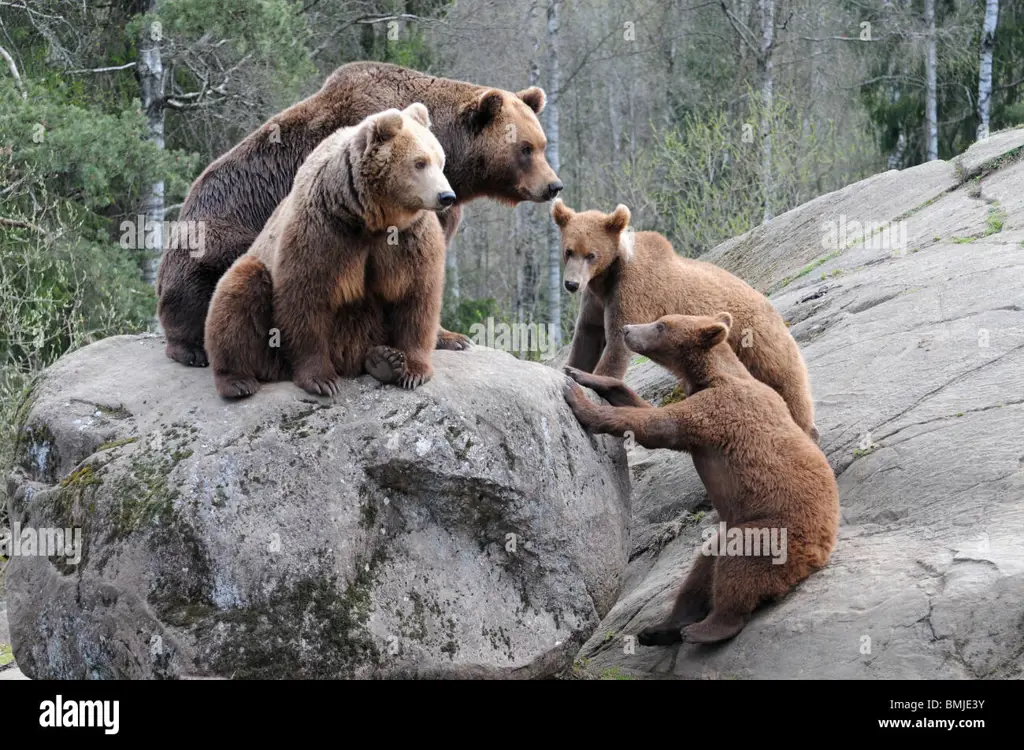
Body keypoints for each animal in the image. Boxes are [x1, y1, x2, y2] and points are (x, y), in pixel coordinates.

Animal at [157, 61, 569, 368]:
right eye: (525, 148)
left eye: (542, 143)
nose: (553, 185)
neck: (454, 164)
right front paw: (444, 338)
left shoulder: (444, 203)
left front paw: (453, 336)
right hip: (216, 233)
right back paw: (194, 349)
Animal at [205, 103, 450, 403]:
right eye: (419, 162)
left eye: (440, 160)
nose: (446, 196)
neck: (370, 217)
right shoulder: (324, 231)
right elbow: (306, 299)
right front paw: (321, 380)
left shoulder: (408, 239)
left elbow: (416, 295)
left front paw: (413, 371)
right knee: (239, 291)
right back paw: (237, 380)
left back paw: (383, 360)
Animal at [548, 200, 819, 444]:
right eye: (568, 251)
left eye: (591, 254)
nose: (571, 284)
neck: (606, 278)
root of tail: (770, 305)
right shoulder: (595, 302)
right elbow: (586, 339)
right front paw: (571, 369)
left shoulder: (632, 292)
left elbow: (616, 344)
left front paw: (597, 379)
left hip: (758, 341)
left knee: (787, 383)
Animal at [561, 313, 839, 647]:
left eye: (661, 325)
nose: (627, 330)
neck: (709, 375)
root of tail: (818, 556)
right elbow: (645, 408)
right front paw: (582, 375)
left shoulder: (717, 411)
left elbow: (658, 425)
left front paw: (579, 400)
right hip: (735, 527)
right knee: (703, 567)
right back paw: (662, 628)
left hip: (773, 527)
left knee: (740, 563)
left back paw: (706, 628)